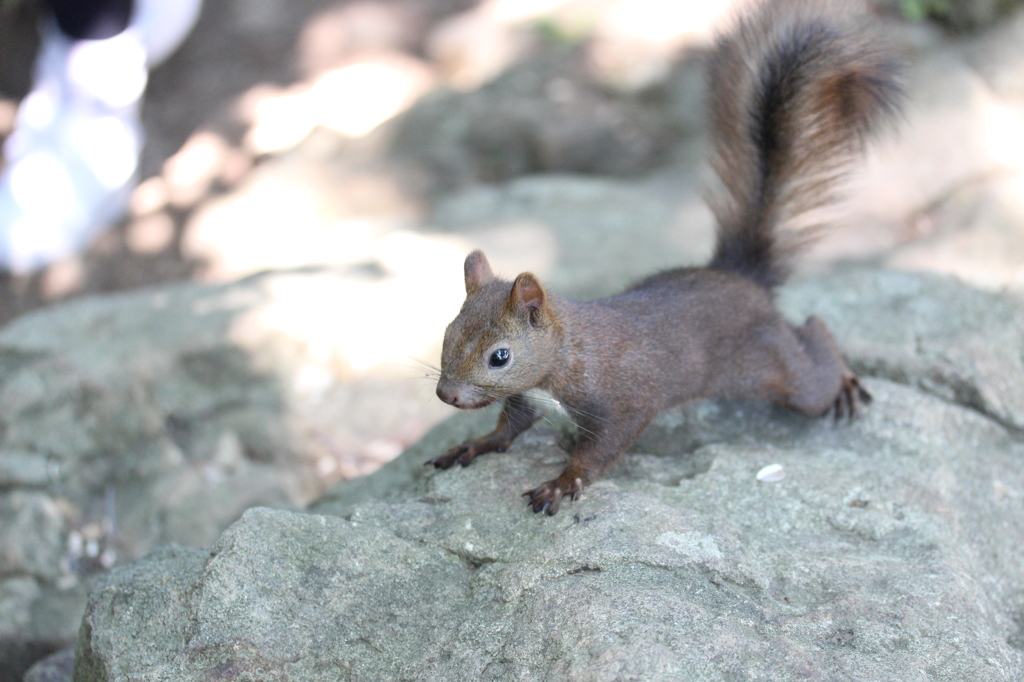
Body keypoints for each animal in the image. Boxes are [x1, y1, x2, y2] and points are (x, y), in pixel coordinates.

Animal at [425, 0, 905, 512]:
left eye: (500, 357)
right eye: (448, 332)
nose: (446, 394)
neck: (564, 356)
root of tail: (739, 278)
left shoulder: (625, 402)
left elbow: (603, 448)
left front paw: (564, 481)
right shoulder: (528, 399)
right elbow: (506, 429)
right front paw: (472, 445)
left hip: (777, 368)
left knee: (813, 343)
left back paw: (845, 382)